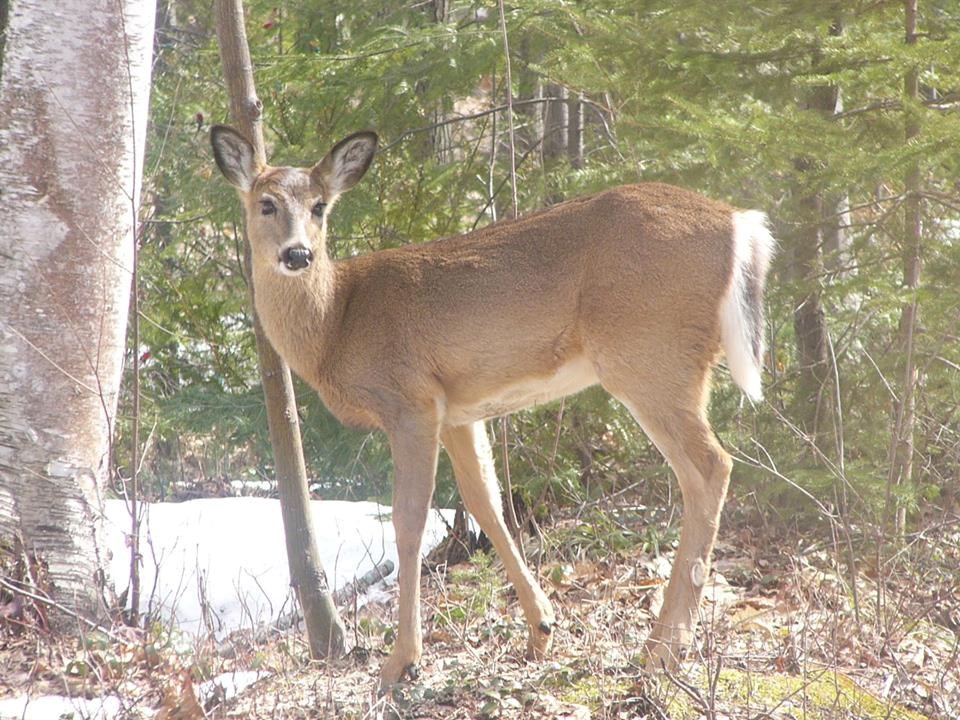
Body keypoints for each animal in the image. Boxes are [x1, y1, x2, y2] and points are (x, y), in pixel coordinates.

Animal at [212, 125, 780, 688]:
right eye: (265, 203)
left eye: (320, 206)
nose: (297, 255)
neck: (336, 323)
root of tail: (741, 223)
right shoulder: (458, 411)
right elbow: (487, 503)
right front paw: (542, 627)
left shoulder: (410, 400)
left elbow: (408, 521)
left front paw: (402, 660)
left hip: (649, 352)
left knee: (710, 466)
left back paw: (664, 649)